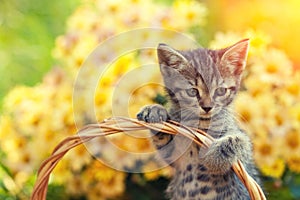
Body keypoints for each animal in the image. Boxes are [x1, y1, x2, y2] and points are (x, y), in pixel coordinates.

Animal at [137, 39, 260, 200]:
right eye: (192, 91)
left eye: (221, 91)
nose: (207, 107)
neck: (201, 125)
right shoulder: (173, 158)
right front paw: (155, 110)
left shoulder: (244, 164)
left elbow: (241, 141)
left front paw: (215, 158)